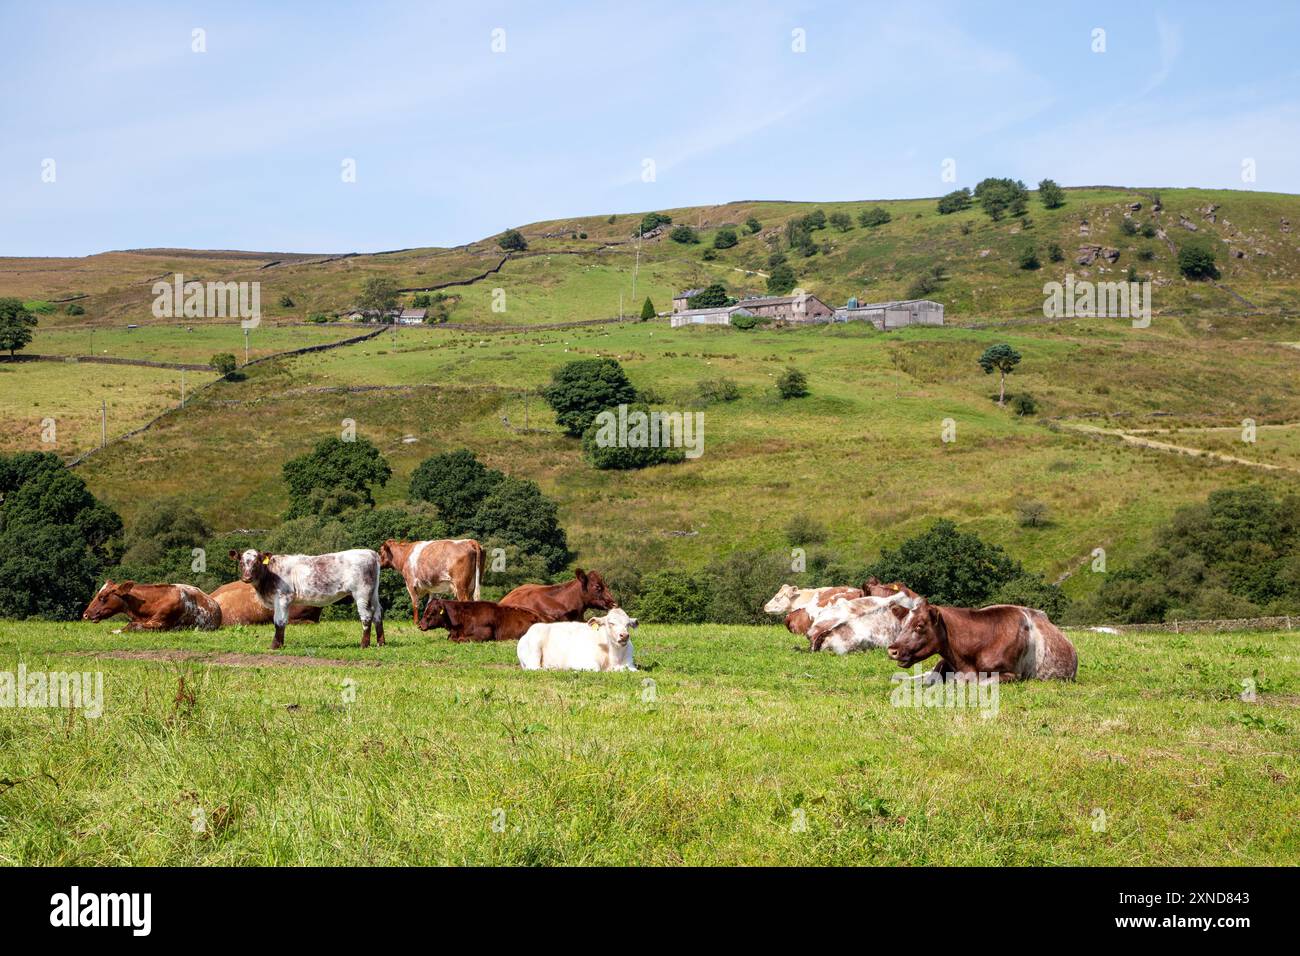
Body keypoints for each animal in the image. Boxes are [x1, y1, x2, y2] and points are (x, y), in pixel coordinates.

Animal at [230, 546, 382, 650]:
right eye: (241, 563)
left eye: (256, 562)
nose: (247, 577)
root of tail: (371, 553)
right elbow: (283, 622)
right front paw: (281, 644)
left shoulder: (282, 597)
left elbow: (279, 621)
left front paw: (274, 646)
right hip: (373, 593)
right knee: (378, 613)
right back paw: (381, 642)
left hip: (362, 592)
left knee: (367, 615)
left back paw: (364, 644)